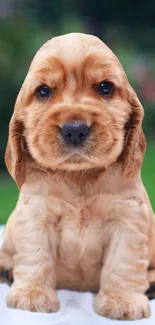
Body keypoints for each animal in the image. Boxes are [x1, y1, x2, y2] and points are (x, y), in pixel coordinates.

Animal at [0, 32, 155, 318]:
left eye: (105, 87)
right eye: (43, 91)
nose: (74, 130)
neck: (79, 176)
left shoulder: (127, 219)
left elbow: (123, 261)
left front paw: (122, 301)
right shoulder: (36, 216)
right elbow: (36, 256)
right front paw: (32, 296)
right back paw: (6, 270)